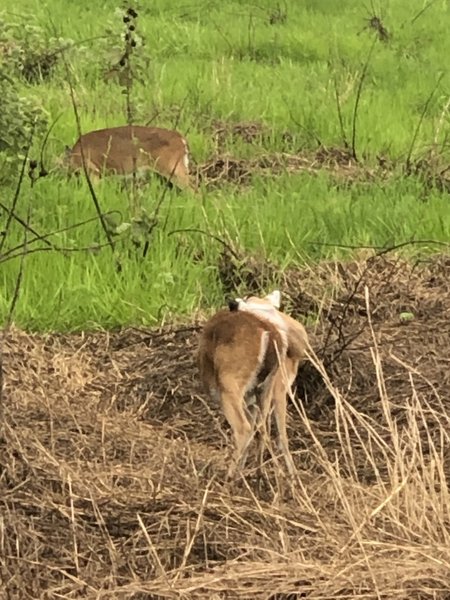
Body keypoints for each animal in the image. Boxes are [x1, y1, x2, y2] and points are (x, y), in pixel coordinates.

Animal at [198, 290, 310, 478]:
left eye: (247, 298)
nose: (232, 302)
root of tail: (269, 333)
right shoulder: (260, 396)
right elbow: (264, 431)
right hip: (264, 390)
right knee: (265, 431)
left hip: (230, 386)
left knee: (244, 428)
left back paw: (229, 476)